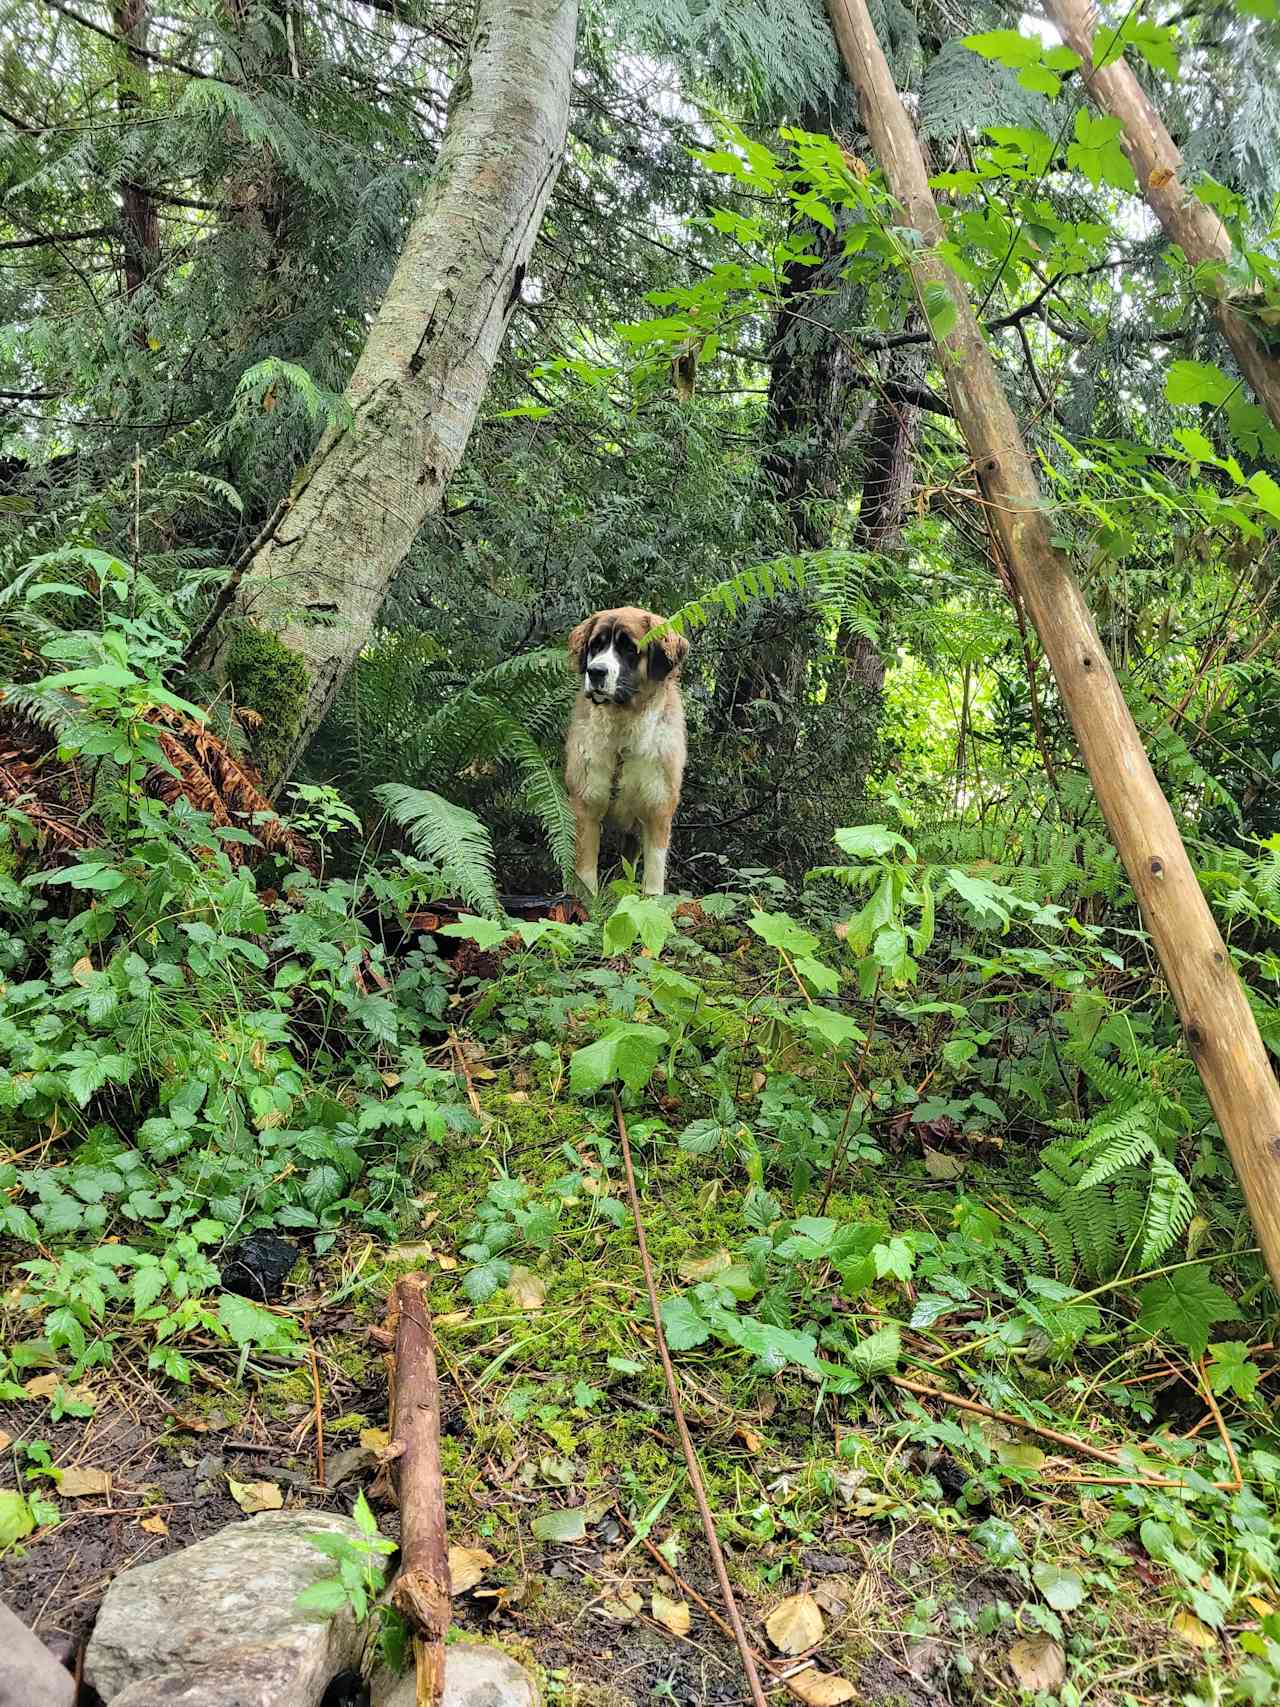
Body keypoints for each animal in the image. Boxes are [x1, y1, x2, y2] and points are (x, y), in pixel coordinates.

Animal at [566, 607, 692, 901]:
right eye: (596, 645)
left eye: (629, 648)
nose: (595, 671)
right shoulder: (585, 808)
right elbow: (585, 872)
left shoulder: (658, 810)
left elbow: (653, 875)